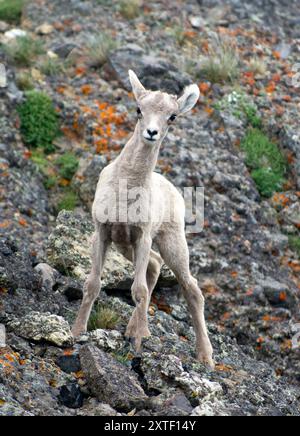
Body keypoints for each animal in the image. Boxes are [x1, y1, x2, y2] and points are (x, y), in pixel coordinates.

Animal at [72, 70, 213, 368]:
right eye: (139, 109)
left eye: (172, 116)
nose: (151, 132)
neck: (127, 189)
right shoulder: (103, 234)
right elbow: (92, 285)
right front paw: (76, 332)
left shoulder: (143, 236)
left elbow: (137, 291)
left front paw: (135, 347)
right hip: (128, 247)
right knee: (155, 267)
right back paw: (141, 329)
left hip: (170, 244)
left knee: (191, 289)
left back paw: (205, 357)